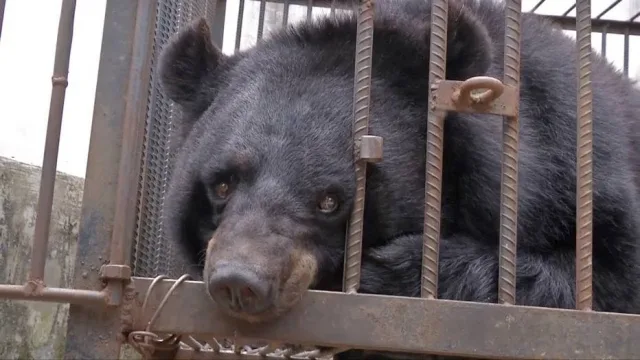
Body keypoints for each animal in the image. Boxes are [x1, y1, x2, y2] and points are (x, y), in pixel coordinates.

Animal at [159, 0, 640, 358]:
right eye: (221, 185)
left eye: (330, 201)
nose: (239, 283)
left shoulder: (568, 166)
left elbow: (606, 282)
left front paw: (391, 272)